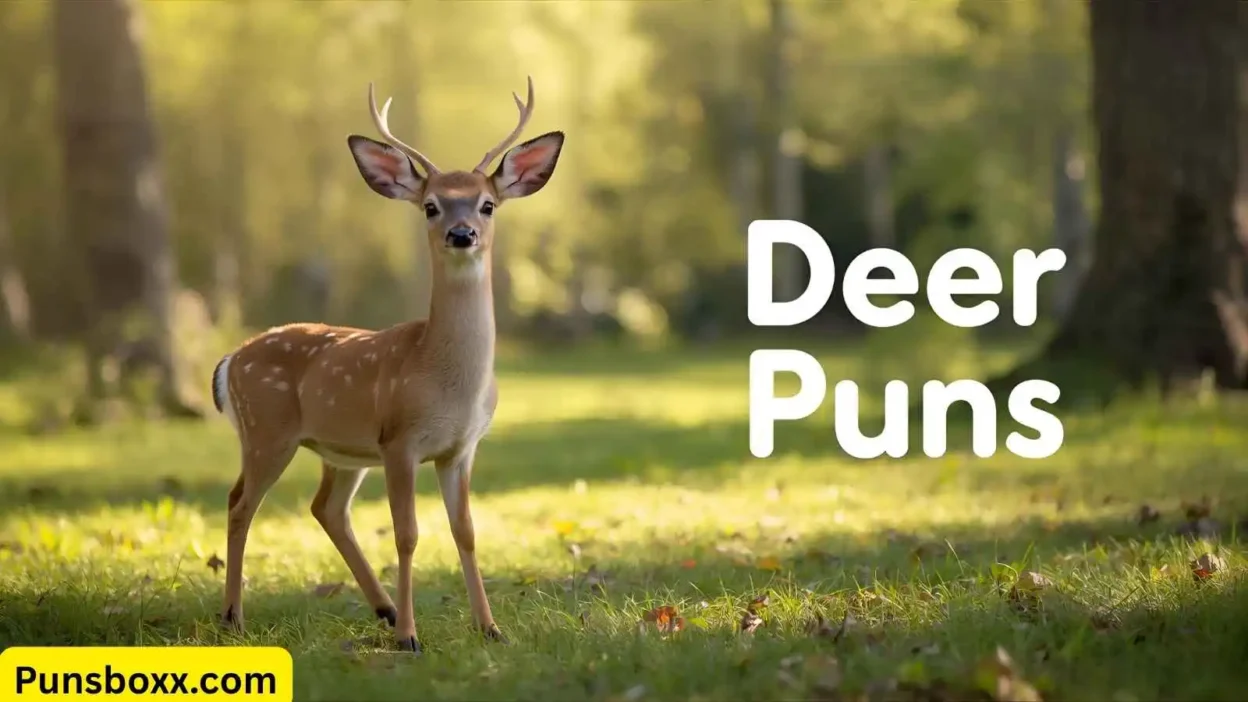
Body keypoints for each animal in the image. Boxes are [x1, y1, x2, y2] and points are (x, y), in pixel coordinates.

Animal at [209, 76, 563, 653]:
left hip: (341, 450)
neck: (449, 380)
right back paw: (234, 618)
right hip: (267, 429)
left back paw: (382, 608)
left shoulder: (461, 448)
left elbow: (466, 532)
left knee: (326, 508)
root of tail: (228, 361)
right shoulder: (400, 439)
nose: (462, 234)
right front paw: (410, 638)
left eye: (487, 204)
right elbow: (408, 534)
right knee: (241, 502)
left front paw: (490, 628)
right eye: (431, 206)